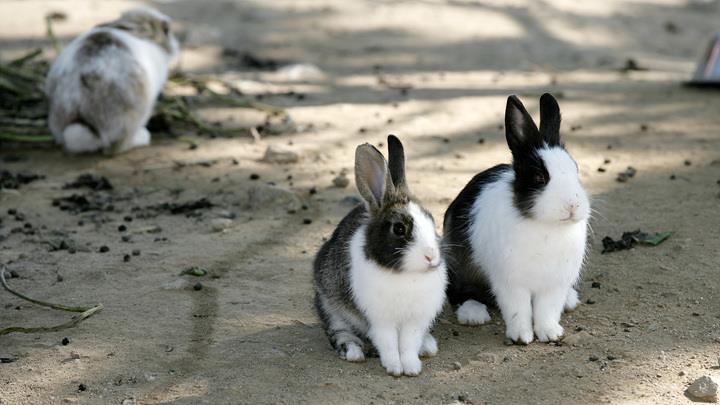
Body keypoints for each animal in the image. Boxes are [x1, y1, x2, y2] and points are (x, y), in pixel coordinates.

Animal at [314, 135, 448, 376]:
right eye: (399, 229)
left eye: (432, 221)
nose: (431, 257)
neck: (405, 274)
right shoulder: (380, 320)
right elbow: (388, 344)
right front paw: (394, 367)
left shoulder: (415, 320)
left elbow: (408, 344)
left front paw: (411, 367)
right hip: (329, 305)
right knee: (339, 331)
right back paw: (353, 351)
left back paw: (427, 345)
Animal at [444, 94, 592, 344]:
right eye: (539, 178)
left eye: (575, 169)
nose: (572, 206)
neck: (545, 226)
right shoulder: (511, 283)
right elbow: (518, 309)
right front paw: (522, 336)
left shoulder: (554, 283)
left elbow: (547, 309)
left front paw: (550, 333)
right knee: (458, 291)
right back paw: (473, 314)